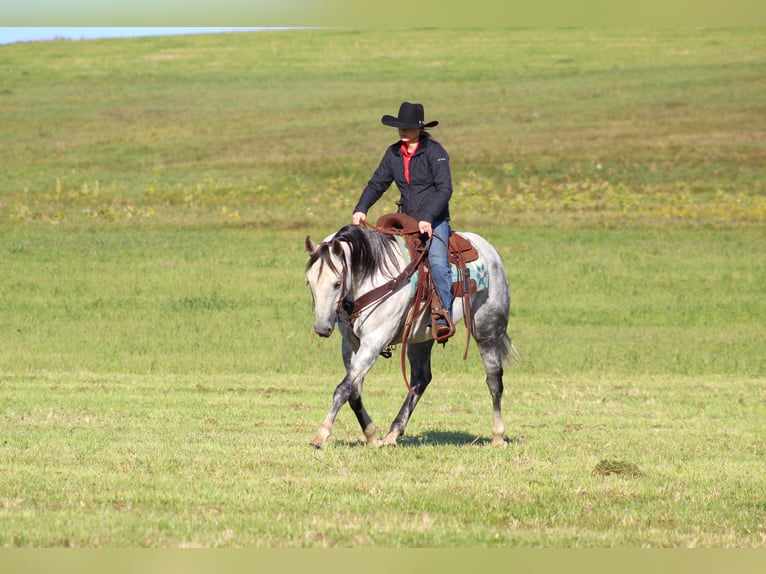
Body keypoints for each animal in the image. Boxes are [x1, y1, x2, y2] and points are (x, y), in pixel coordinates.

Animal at [306, 220, 516, 450]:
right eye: (309, 282)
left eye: (337, 283)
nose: (321, 327)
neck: (372, 278)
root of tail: (489, 251)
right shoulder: (351, 344)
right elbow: (353, 391)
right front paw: (372, 435)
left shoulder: (374, 342)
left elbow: (342, 389)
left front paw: (321, 434)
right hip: (420, 339)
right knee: (421, 379)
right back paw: (392, 433)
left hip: (488, 330)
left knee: (494, 380)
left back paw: (498, 436)